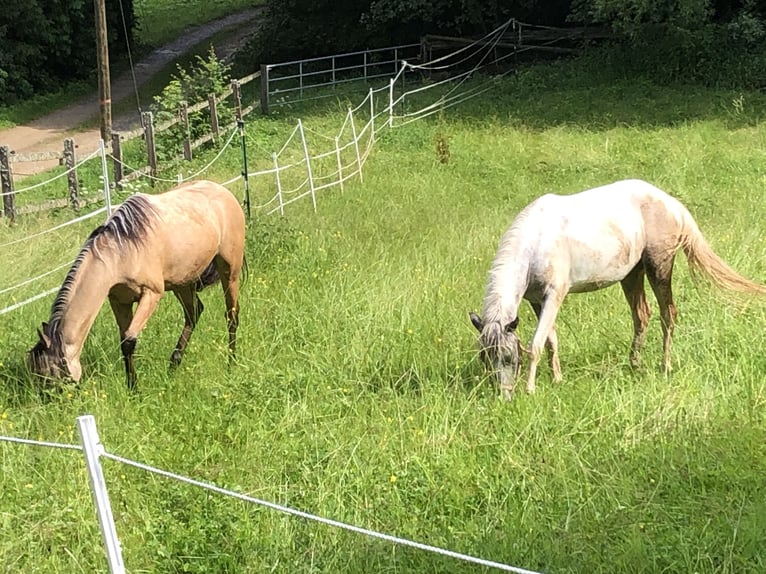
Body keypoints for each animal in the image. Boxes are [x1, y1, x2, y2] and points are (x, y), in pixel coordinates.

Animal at [29, 180, 246, 392]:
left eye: (50, 374)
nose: (51, 400)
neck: (120, 252)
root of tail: (224, 193)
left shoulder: (151, 294)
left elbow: (129, 342)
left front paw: (135, 390)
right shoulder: (119, 302)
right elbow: (124, 342)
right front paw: (132, 388)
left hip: (230, 271)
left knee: (232, 315)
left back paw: (231, 364)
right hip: (182, 282)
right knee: (194, 313)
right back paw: (173, 366)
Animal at [468, 179, 766, 400]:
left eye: (509, 357)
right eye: (485, 358)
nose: (504, 396)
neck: (535, 244)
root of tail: (672, 204)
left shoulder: (555, 294)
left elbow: (537, 342)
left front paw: (531, 389)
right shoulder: (536, 300)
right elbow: (551, 339)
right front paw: (557, 379)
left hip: (659, 267)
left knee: (667, 314)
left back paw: (665, 366)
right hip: (632, 275)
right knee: (642, 315)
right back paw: (634, 365)